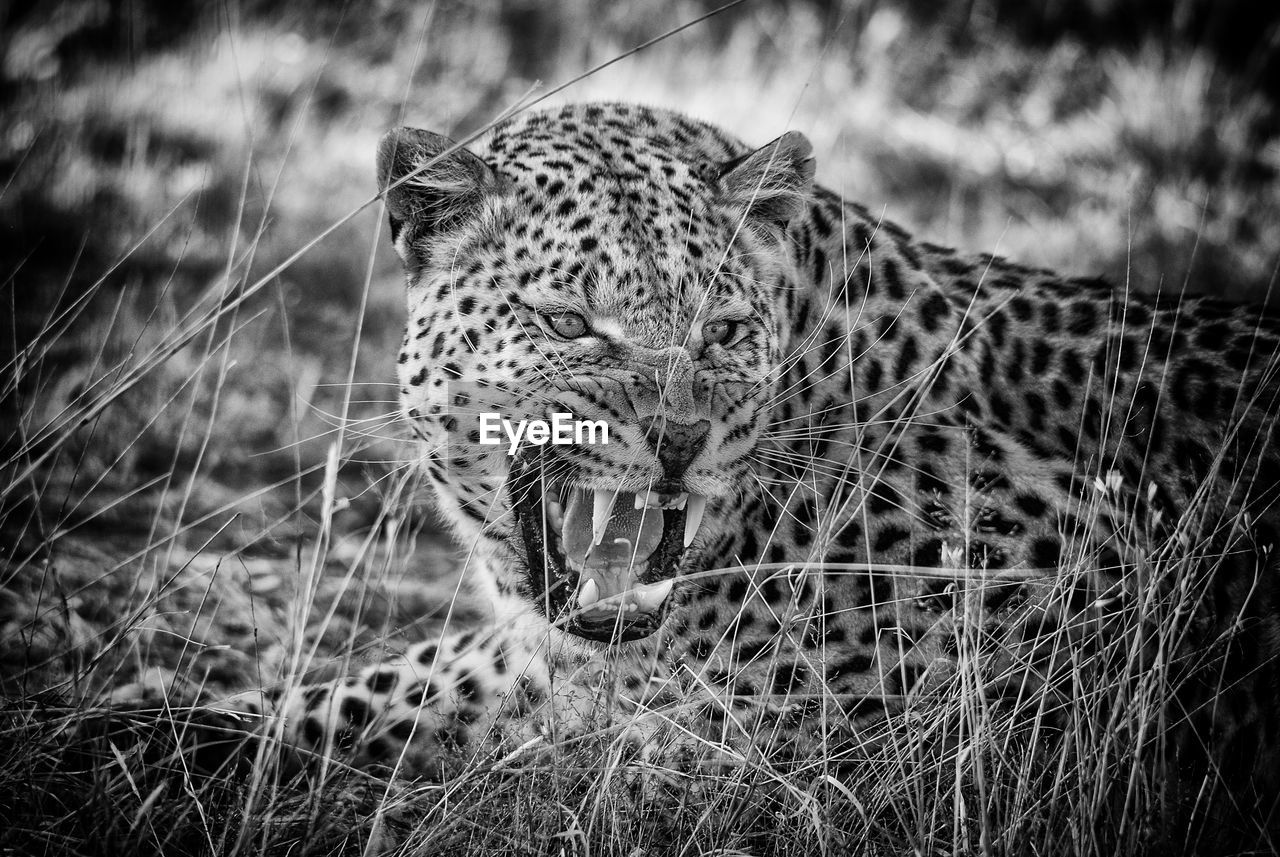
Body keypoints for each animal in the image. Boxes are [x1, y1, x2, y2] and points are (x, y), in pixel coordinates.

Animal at [222, 102, 1280, 823]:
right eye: (565, 323)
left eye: (724, 331)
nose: (680, 436)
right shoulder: (535, 655)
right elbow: (347, 698)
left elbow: (612, 759)